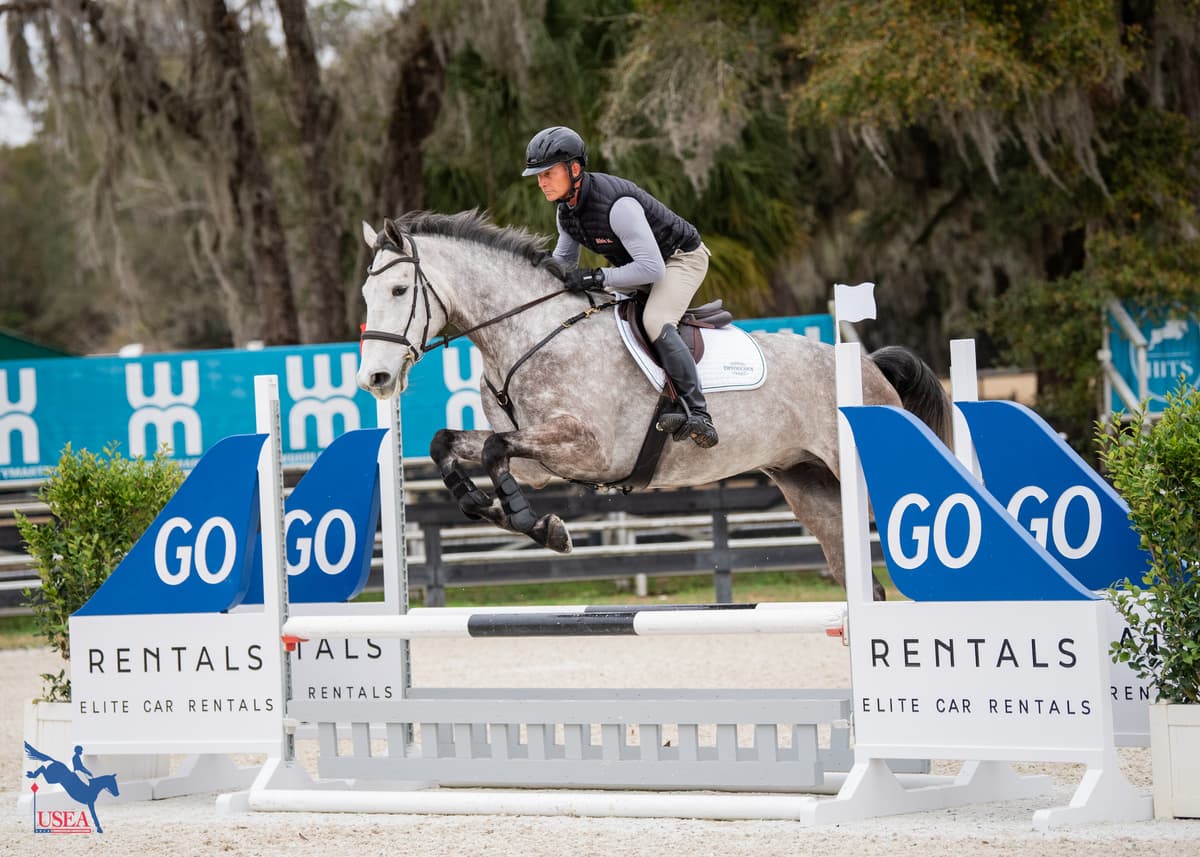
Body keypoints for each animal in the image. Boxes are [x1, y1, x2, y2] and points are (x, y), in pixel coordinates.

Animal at [356, 210, 951, 599]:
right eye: (367, 295)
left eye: (399, 291)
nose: (375, 379)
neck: (530, 332)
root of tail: (871, 367)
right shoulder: (540, 464)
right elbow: (453, 445)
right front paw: (500, 512)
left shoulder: (590, 449)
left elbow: (494, 449)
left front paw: (535, 523)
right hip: (814, 490)